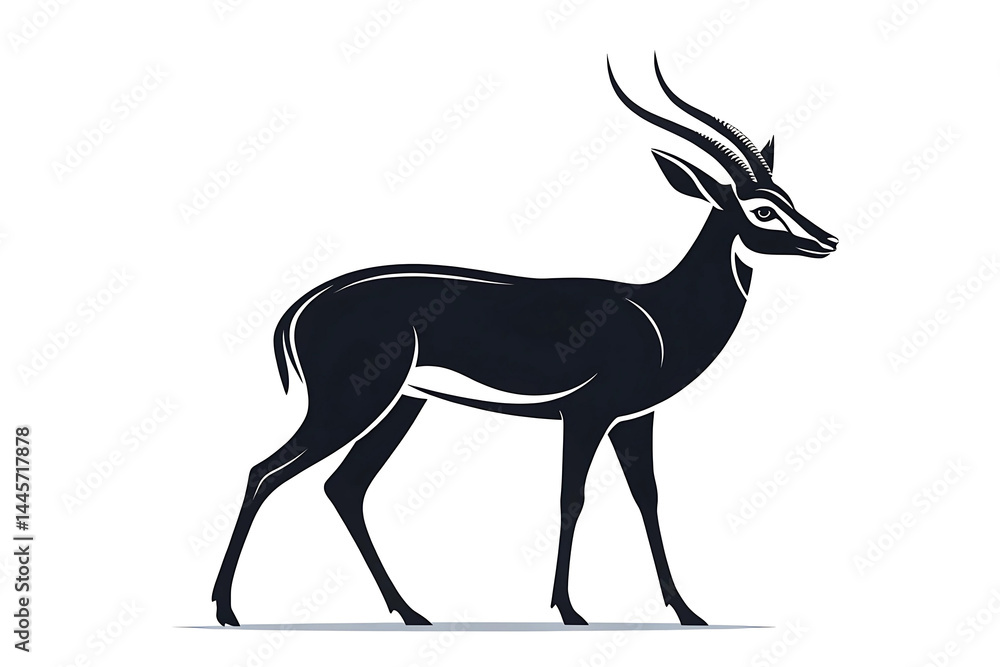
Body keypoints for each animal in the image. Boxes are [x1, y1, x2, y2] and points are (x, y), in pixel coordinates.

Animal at [212, 55, 838, 627]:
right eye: (763, 209)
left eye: (788, 195)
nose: (827, 240)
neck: (660, 314)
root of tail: (305, 303)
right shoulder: (586, 414)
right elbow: (571, 499)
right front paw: (569, 610)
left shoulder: (636, 419)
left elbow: (649, 498)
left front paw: (686, 611)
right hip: (350, 405)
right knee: (264, 472)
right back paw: (227, 610)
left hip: (402, 406)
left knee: (344, 487)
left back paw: (411, 611)